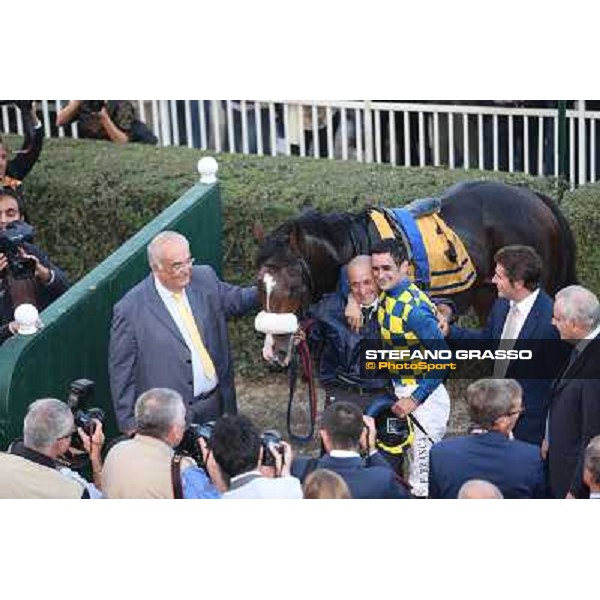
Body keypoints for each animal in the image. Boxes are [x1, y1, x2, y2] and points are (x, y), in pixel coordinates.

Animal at [256, 179, 576, 366]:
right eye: (260, 286)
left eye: (295, 286)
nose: (274, 352)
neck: (356, 248)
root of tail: (534, 196)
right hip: (490, 295)